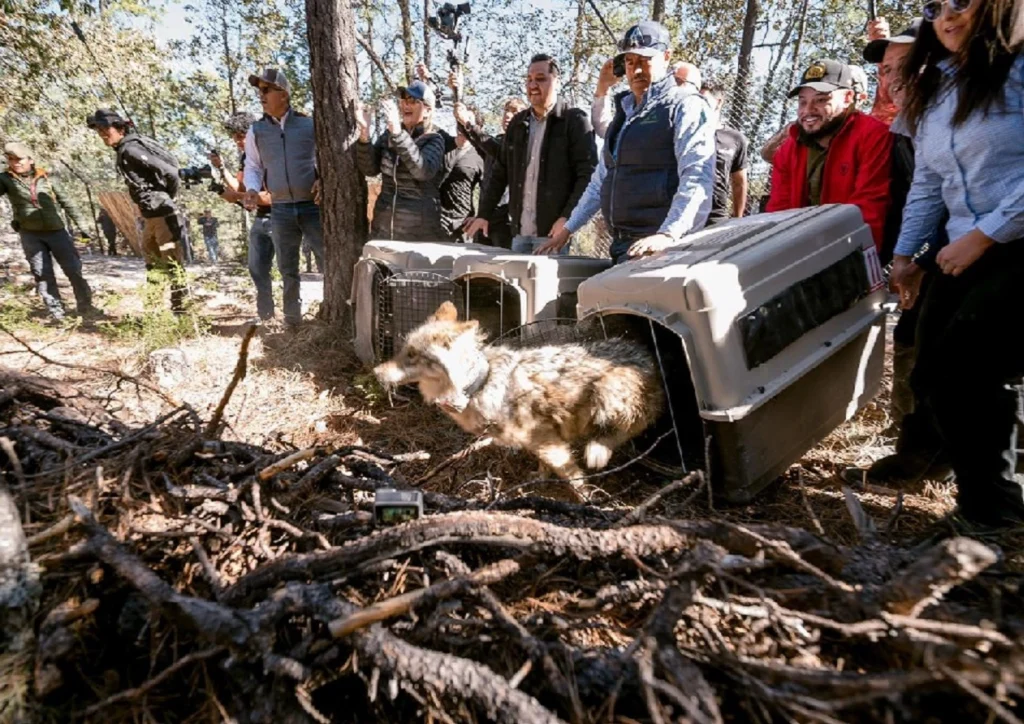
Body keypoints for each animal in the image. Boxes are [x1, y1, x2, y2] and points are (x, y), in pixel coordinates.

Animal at [374, 301, 665, 495]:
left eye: (413, 355)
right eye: (403, 350)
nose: (376, 372)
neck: (480, 384)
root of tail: (647, 356)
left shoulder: (548, 442)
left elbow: (573, 476)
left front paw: (589, 501)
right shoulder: (542, 442)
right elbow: (544, 465)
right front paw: (538, 478)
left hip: (606, 391)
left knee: (629, 427)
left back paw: (598, 450)